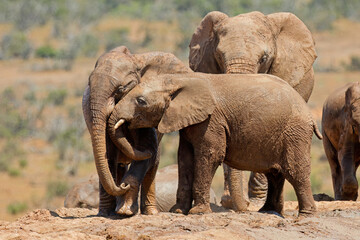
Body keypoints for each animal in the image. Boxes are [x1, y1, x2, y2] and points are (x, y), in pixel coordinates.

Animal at [82, 46, 191, 217]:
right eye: (88, 84)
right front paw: (106, 213)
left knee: (153, 164)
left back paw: (150, 212)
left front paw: (125, 211)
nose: (122, 186)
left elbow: (146, 150)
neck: (136, 60)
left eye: (121, 89)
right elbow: (108, 153)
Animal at [108, 73, 322, 216]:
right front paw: (178, 211)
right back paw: (267, 211)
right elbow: (185, 157)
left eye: (141, 101)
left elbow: (210, 155)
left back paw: (306, 215)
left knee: (294, 171)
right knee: (274, 173)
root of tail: (308, 112)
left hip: (295, 132)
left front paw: (197, 212)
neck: (179, 79)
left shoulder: (212, 120)